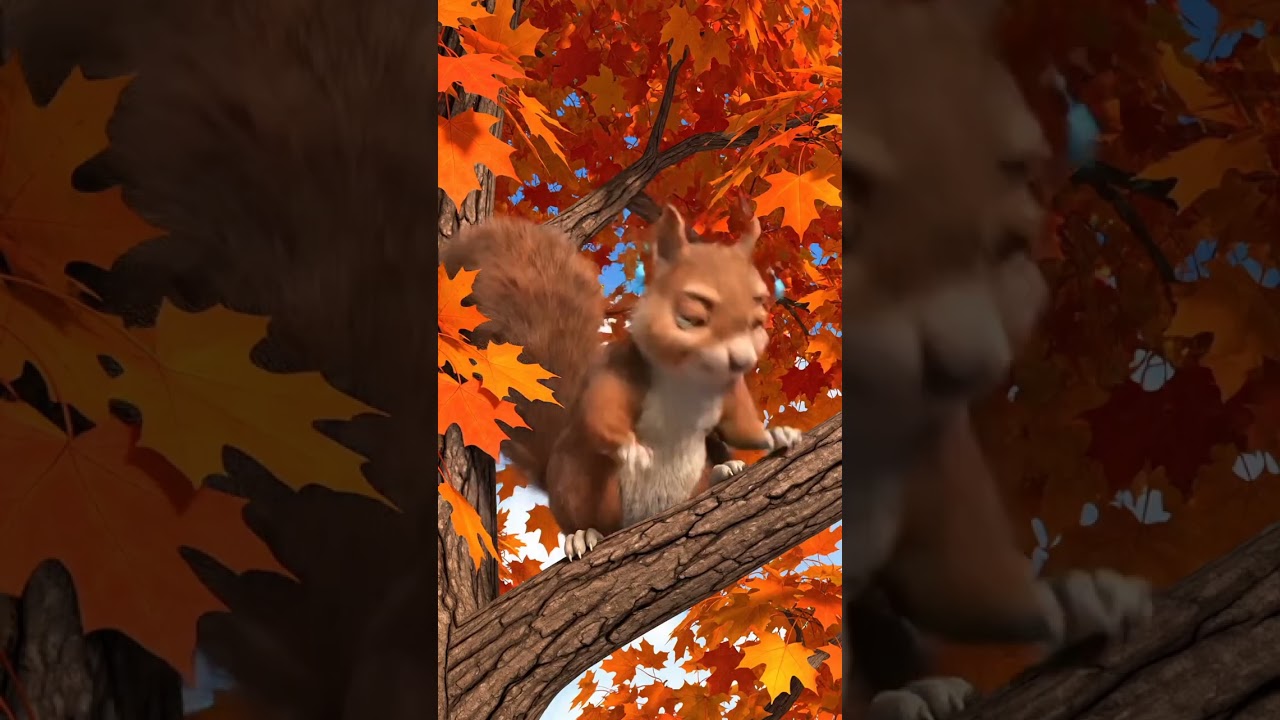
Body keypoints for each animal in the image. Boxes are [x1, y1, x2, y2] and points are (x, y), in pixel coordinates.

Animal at [440, 205, 802, 559]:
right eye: (690, 317)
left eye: (758, 321)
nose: (741, 360)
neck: (689, 380)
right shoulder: (620, 370)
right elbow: (602, 415)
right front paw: (634, 451)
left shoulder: (728, 395)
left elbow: (740, 426)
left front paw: (777, 435)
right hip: (578, 481)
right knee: (585, 515)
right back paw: (582, 535)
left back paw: (724, 470)